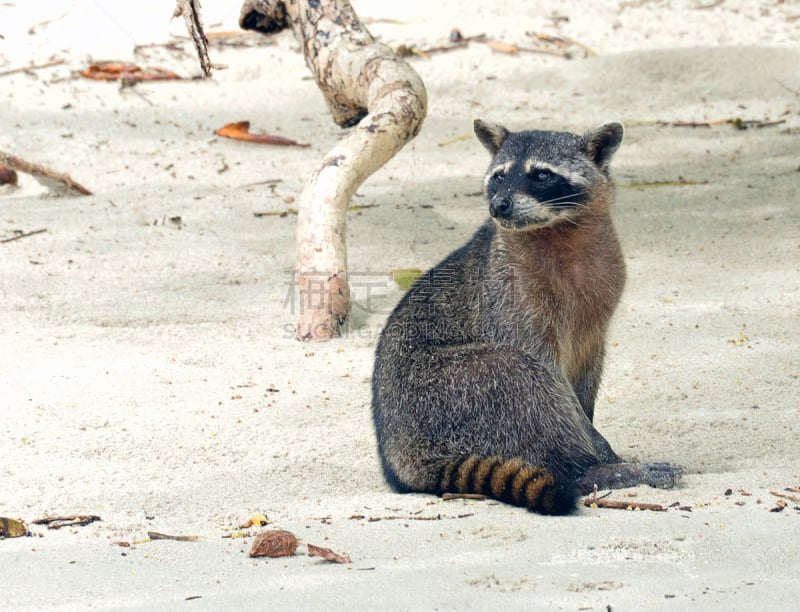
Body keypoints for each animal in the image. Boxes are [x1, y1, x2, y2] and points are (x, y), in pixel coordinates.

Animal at [370, 117, 680, 512]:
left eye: (542, 175)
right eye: (499, 176)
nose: (499, 205)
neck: (559, 229)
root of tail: (399, 457)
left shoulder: (598, 311)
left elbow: (584, 379)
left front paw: (597, 437)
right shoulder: (509, 298)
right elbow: (548, 376)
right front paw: (598, 451)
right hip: (446, 391)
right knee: (517, 374)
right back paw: (588, 471)